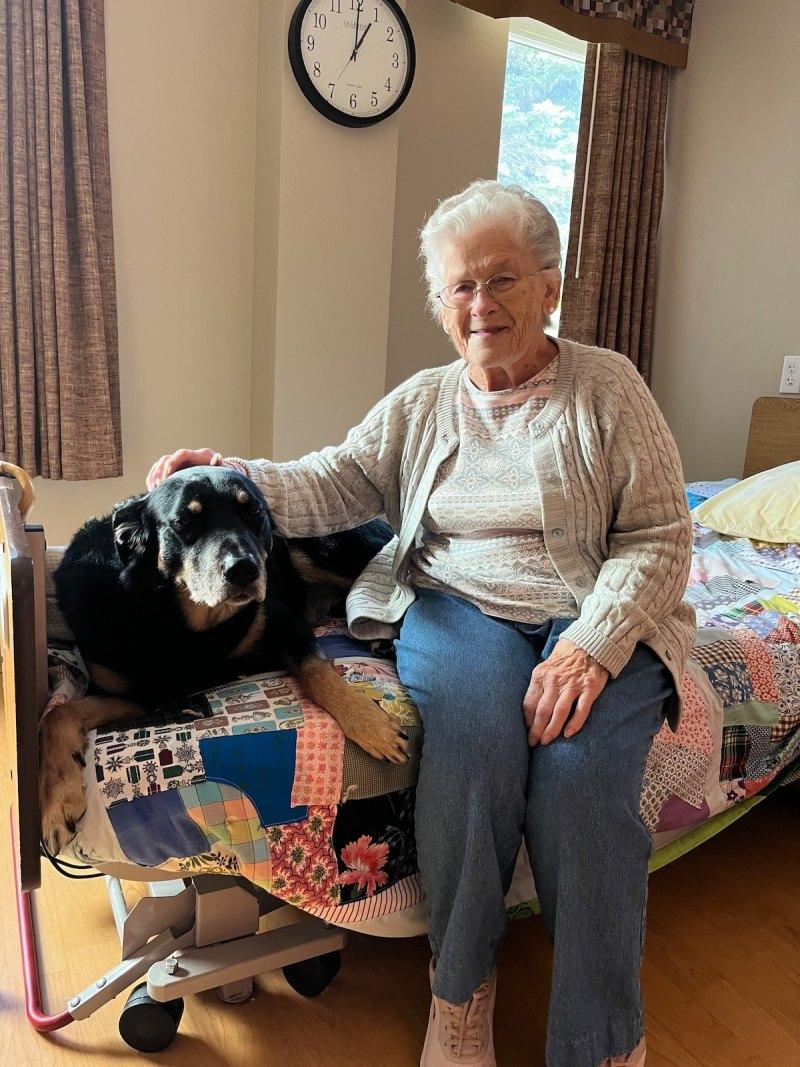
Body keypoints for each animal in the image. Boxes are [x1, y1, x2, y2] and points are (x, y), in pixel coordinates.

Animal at [41, 467, 407, 849]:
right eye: (185, 520)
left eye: (254, 513)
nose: (244, 570)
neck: (177, 620)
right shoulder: (139, 695)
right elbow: (57, 716)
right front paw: (56, 801)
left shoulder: (283, 623)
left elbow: (316, 672)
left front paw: (369, 722)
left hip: (315, 551)